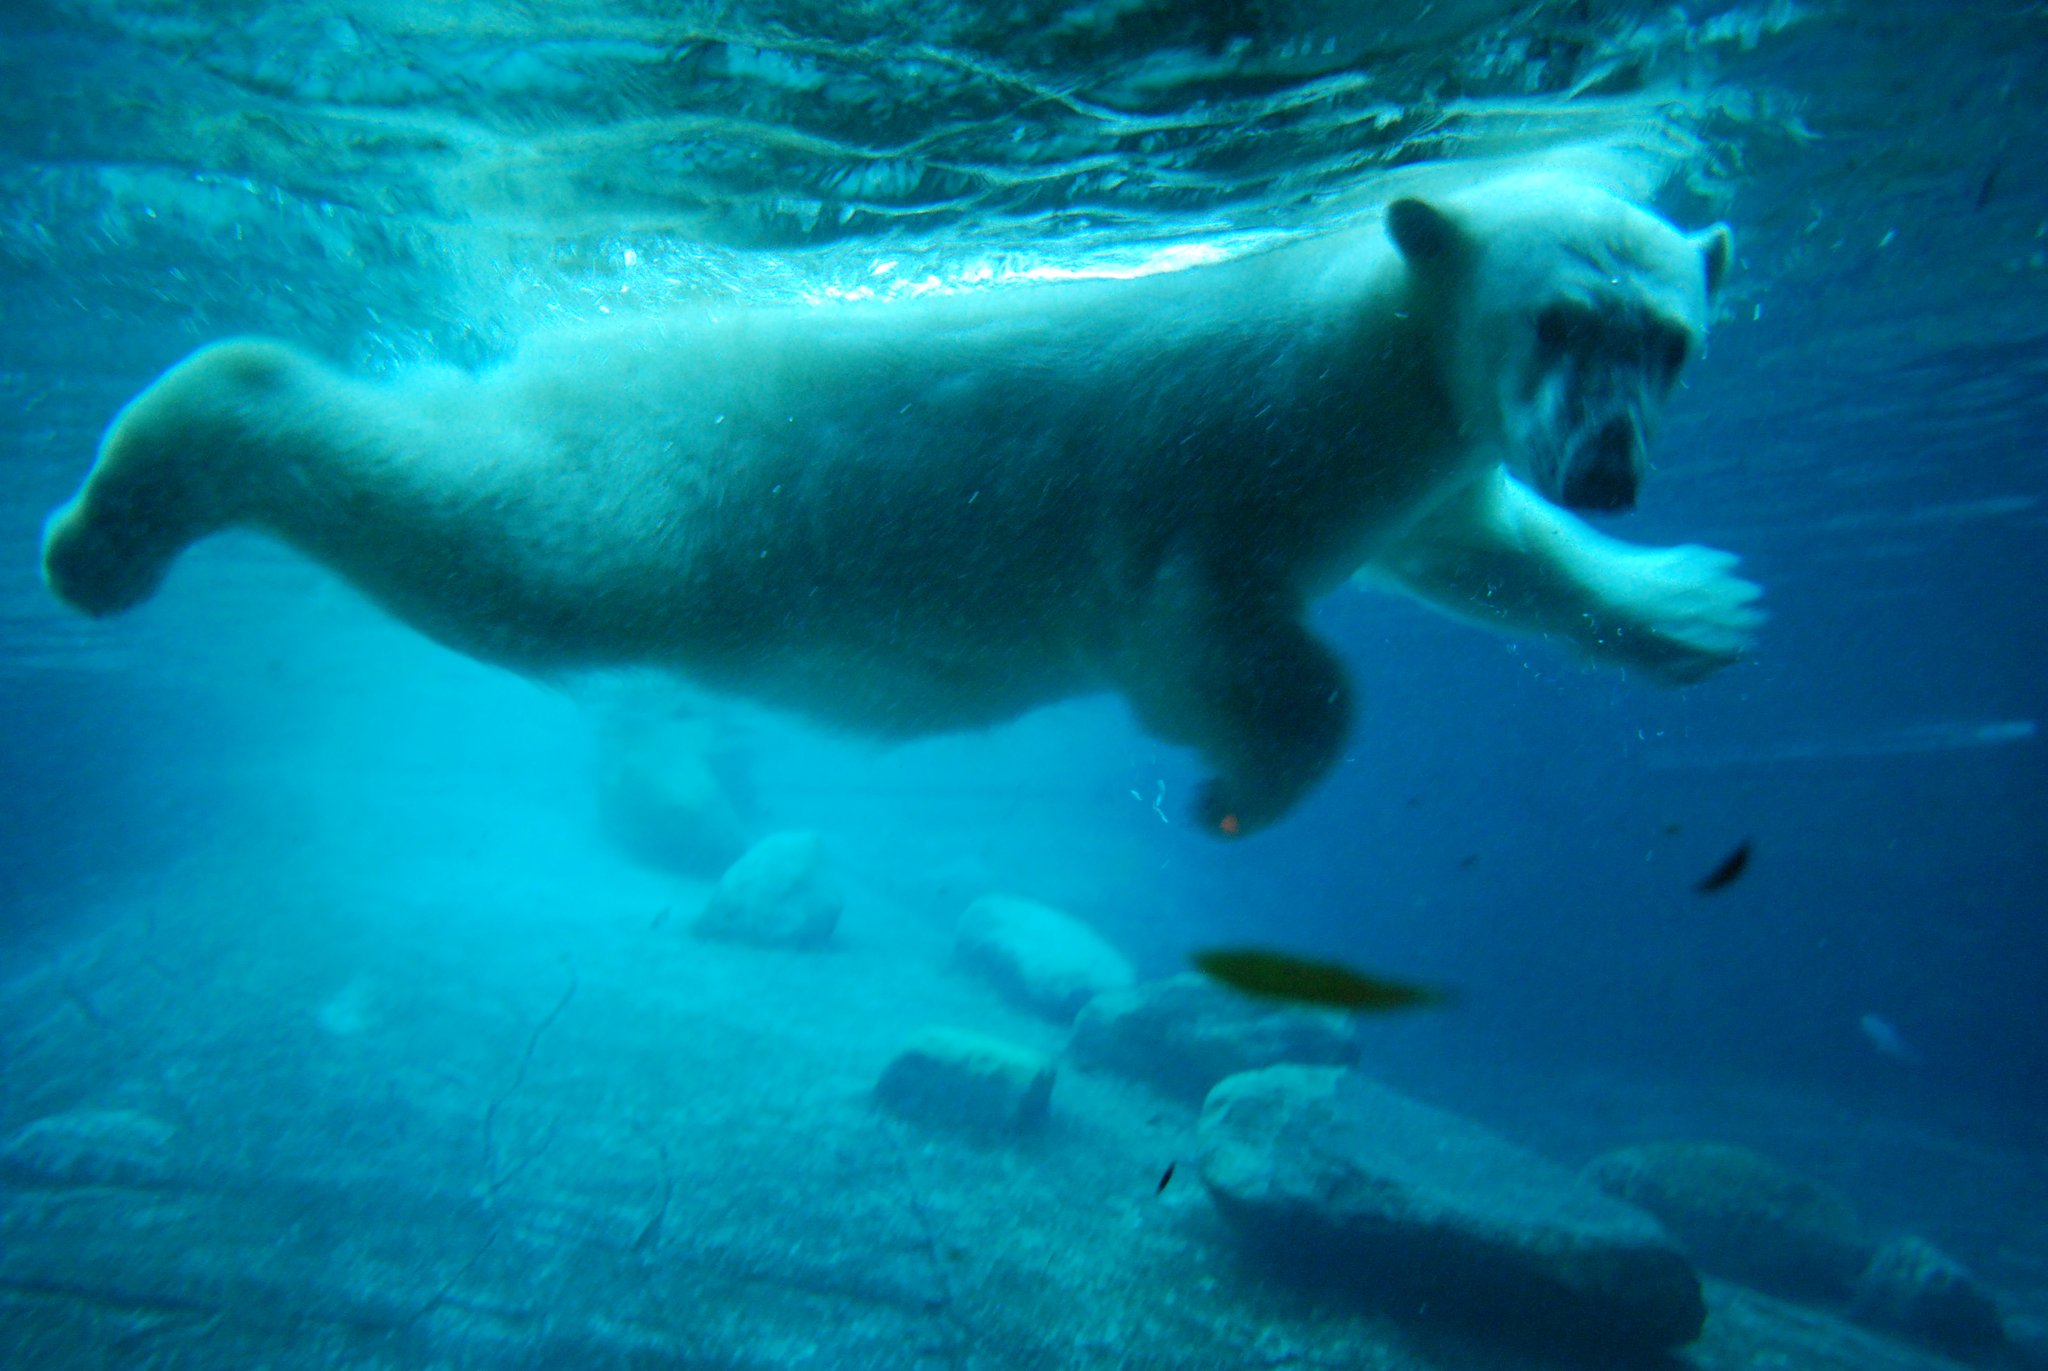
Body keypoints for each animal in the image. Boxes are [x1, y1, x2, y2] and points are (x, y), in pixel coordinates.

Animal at [39, 171, 1753, 836]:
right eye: (1557, 322)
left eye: (1665, 338)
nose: (1612, 458)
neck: (1371, 338)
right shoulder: (1235, 449)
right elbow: (1213, 637)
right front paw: (1232, 783)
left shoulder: (1415, 467)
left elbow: (1484, 547)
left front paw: (1696, 607)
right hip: (677, 482)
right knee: (520, 536)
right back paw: (108, 528)